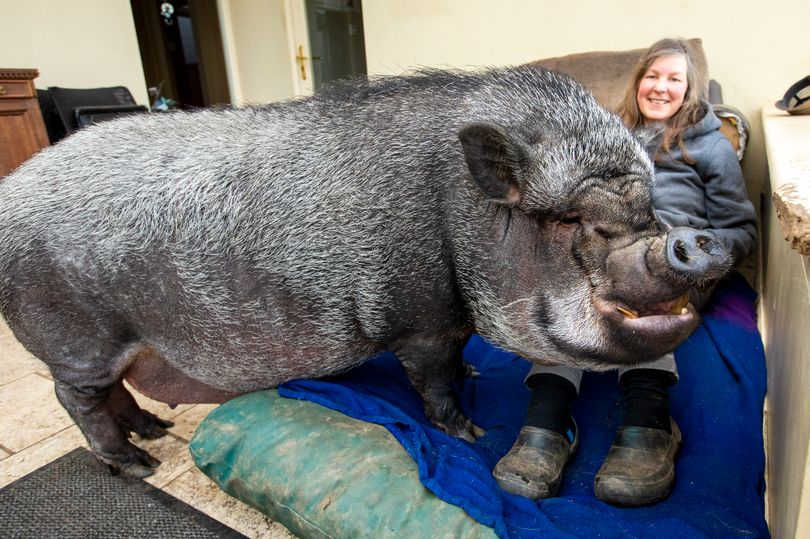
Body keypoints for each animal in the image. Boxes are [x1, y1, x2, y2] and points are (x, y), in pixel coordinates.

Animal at [0, 66, 724, 476]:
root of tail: (9, 195)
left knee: (115, 393)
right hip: (78, 338)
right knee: (77, 400)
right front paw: (472, 431)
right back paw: (141, 464)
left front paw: (473, 380)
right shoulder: (420, 320)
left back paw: (156, 431)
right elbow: (432, 379)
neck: (458, 211)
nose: (695, 243)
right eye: (569, 218)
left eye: (646, 203)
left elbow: (456, 363)